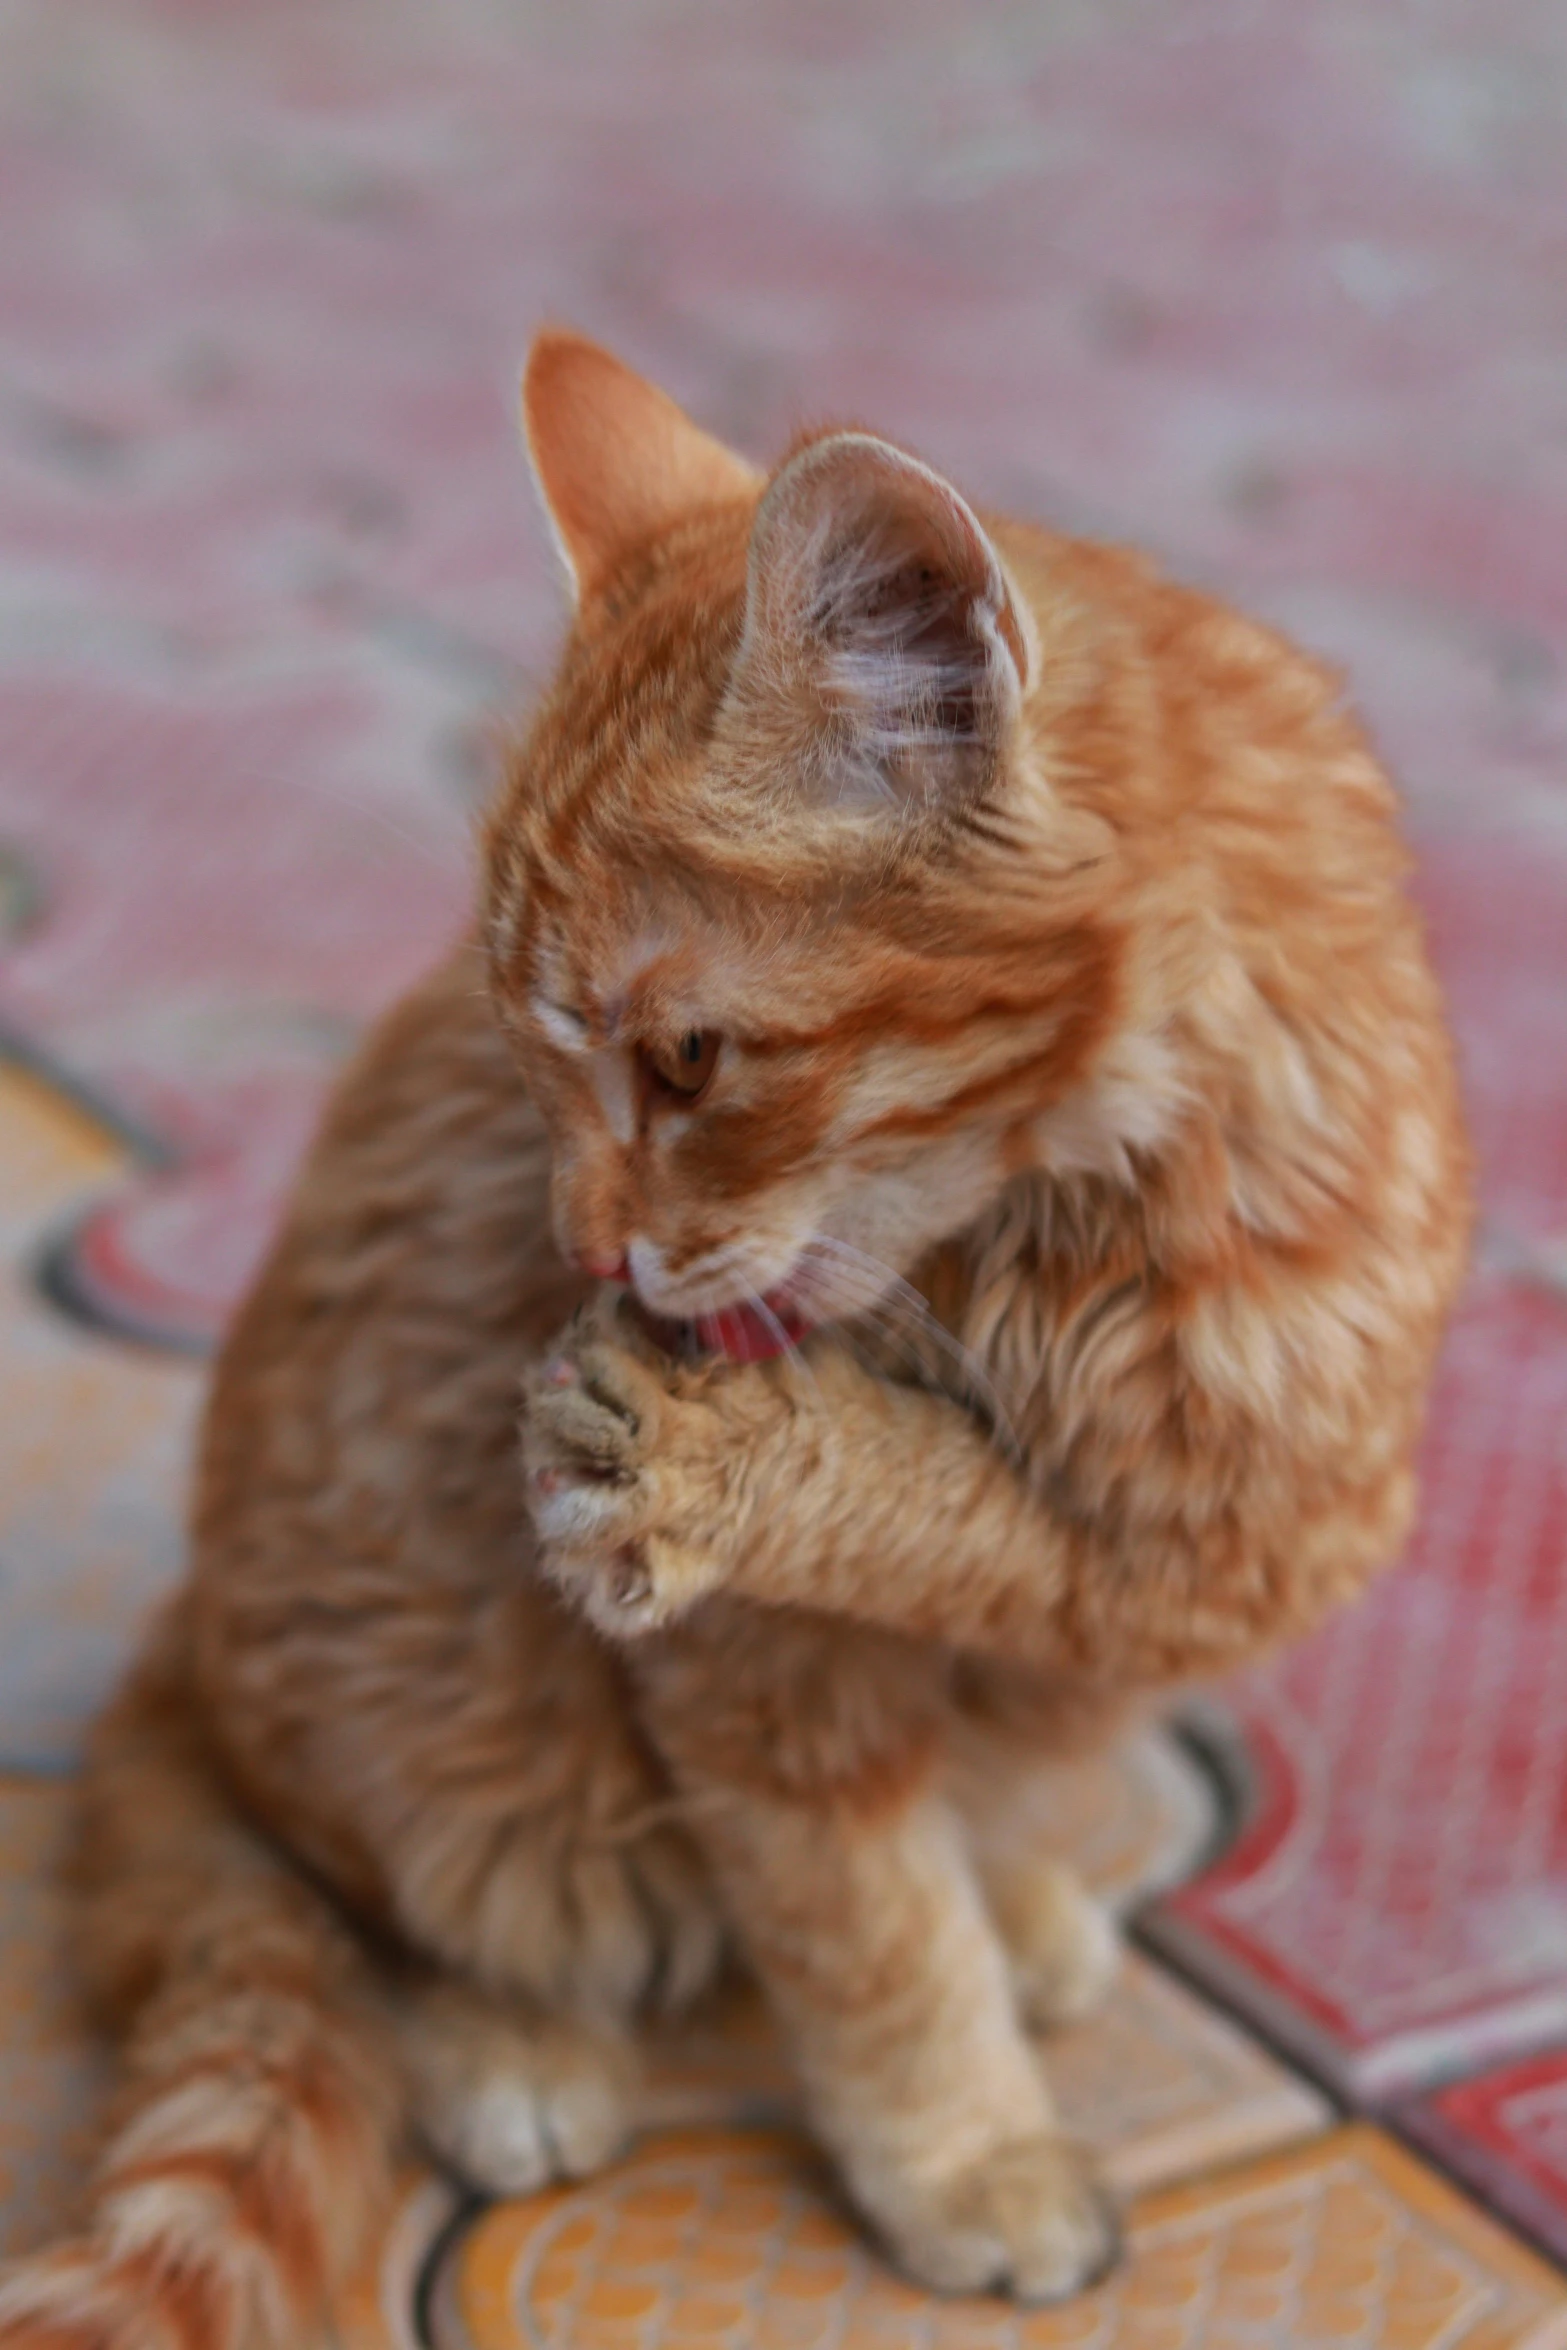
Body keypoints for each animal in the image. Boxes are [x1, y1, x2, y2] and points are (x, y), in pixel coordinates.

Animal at [0, 336, 1475, 2350]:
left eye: (684, 1060)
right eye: (523, 1055)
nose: (579, 1243)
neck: (1070, 1247)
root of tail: (179, 1656)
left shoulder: (1257, 1529)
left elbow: (999, 1557)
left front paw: (761, 1463)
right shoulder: (766, 1690)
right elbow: (875, 1930)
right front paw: (967, 2153)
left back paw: (1022, 1904)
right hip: (422, 1714)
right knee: (381, 1899)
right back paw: (513, 2050)